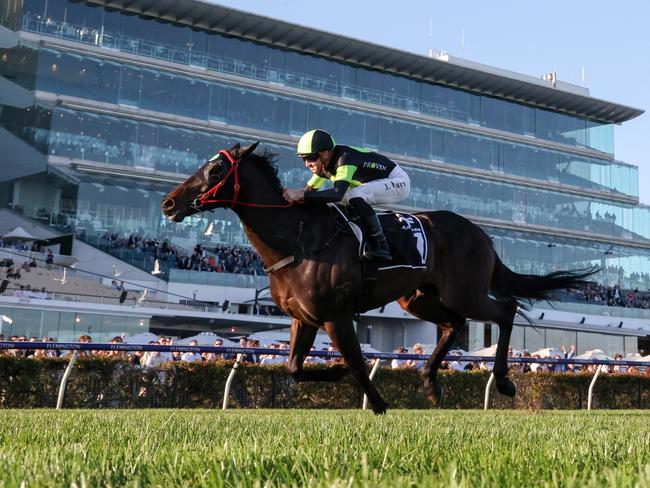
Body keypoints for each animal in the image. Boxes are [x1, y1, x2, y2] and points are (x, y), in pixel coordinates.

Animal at [159, 141, 596, 412]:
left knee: (505, 311)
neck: (296, 239)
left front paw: (378, 403)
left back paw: (503, 381)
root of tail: (481, 234)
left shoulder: (336, 315)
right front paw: (337, 374)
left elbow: (355, 361)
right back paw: (430, 383)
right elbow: (294, 368)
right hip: (418, 298)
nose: (168, 203)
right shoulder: (304, 318)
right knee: (453, 325)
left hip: (465, 291)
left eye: (216, 168)